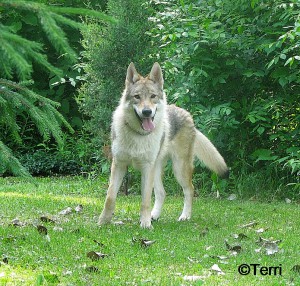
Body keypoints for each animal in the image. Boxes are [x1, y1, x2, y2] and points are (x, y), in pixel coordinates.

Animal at [97, 62, 229, 228]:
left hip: (178, 169)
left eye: (153, 96)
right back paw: (154, 216)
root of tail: (186, 113)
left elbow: (145, 200)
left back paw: (184, 216)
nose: (147, 112)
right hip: (157, 169)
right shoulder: (119, 165)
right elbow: (110, 197)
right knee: (162, 193)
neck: (138, 136)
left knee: (190, 190)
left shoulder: (147, 168)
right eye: (137, 97)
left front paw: (145, 224)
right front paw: (103, 221)